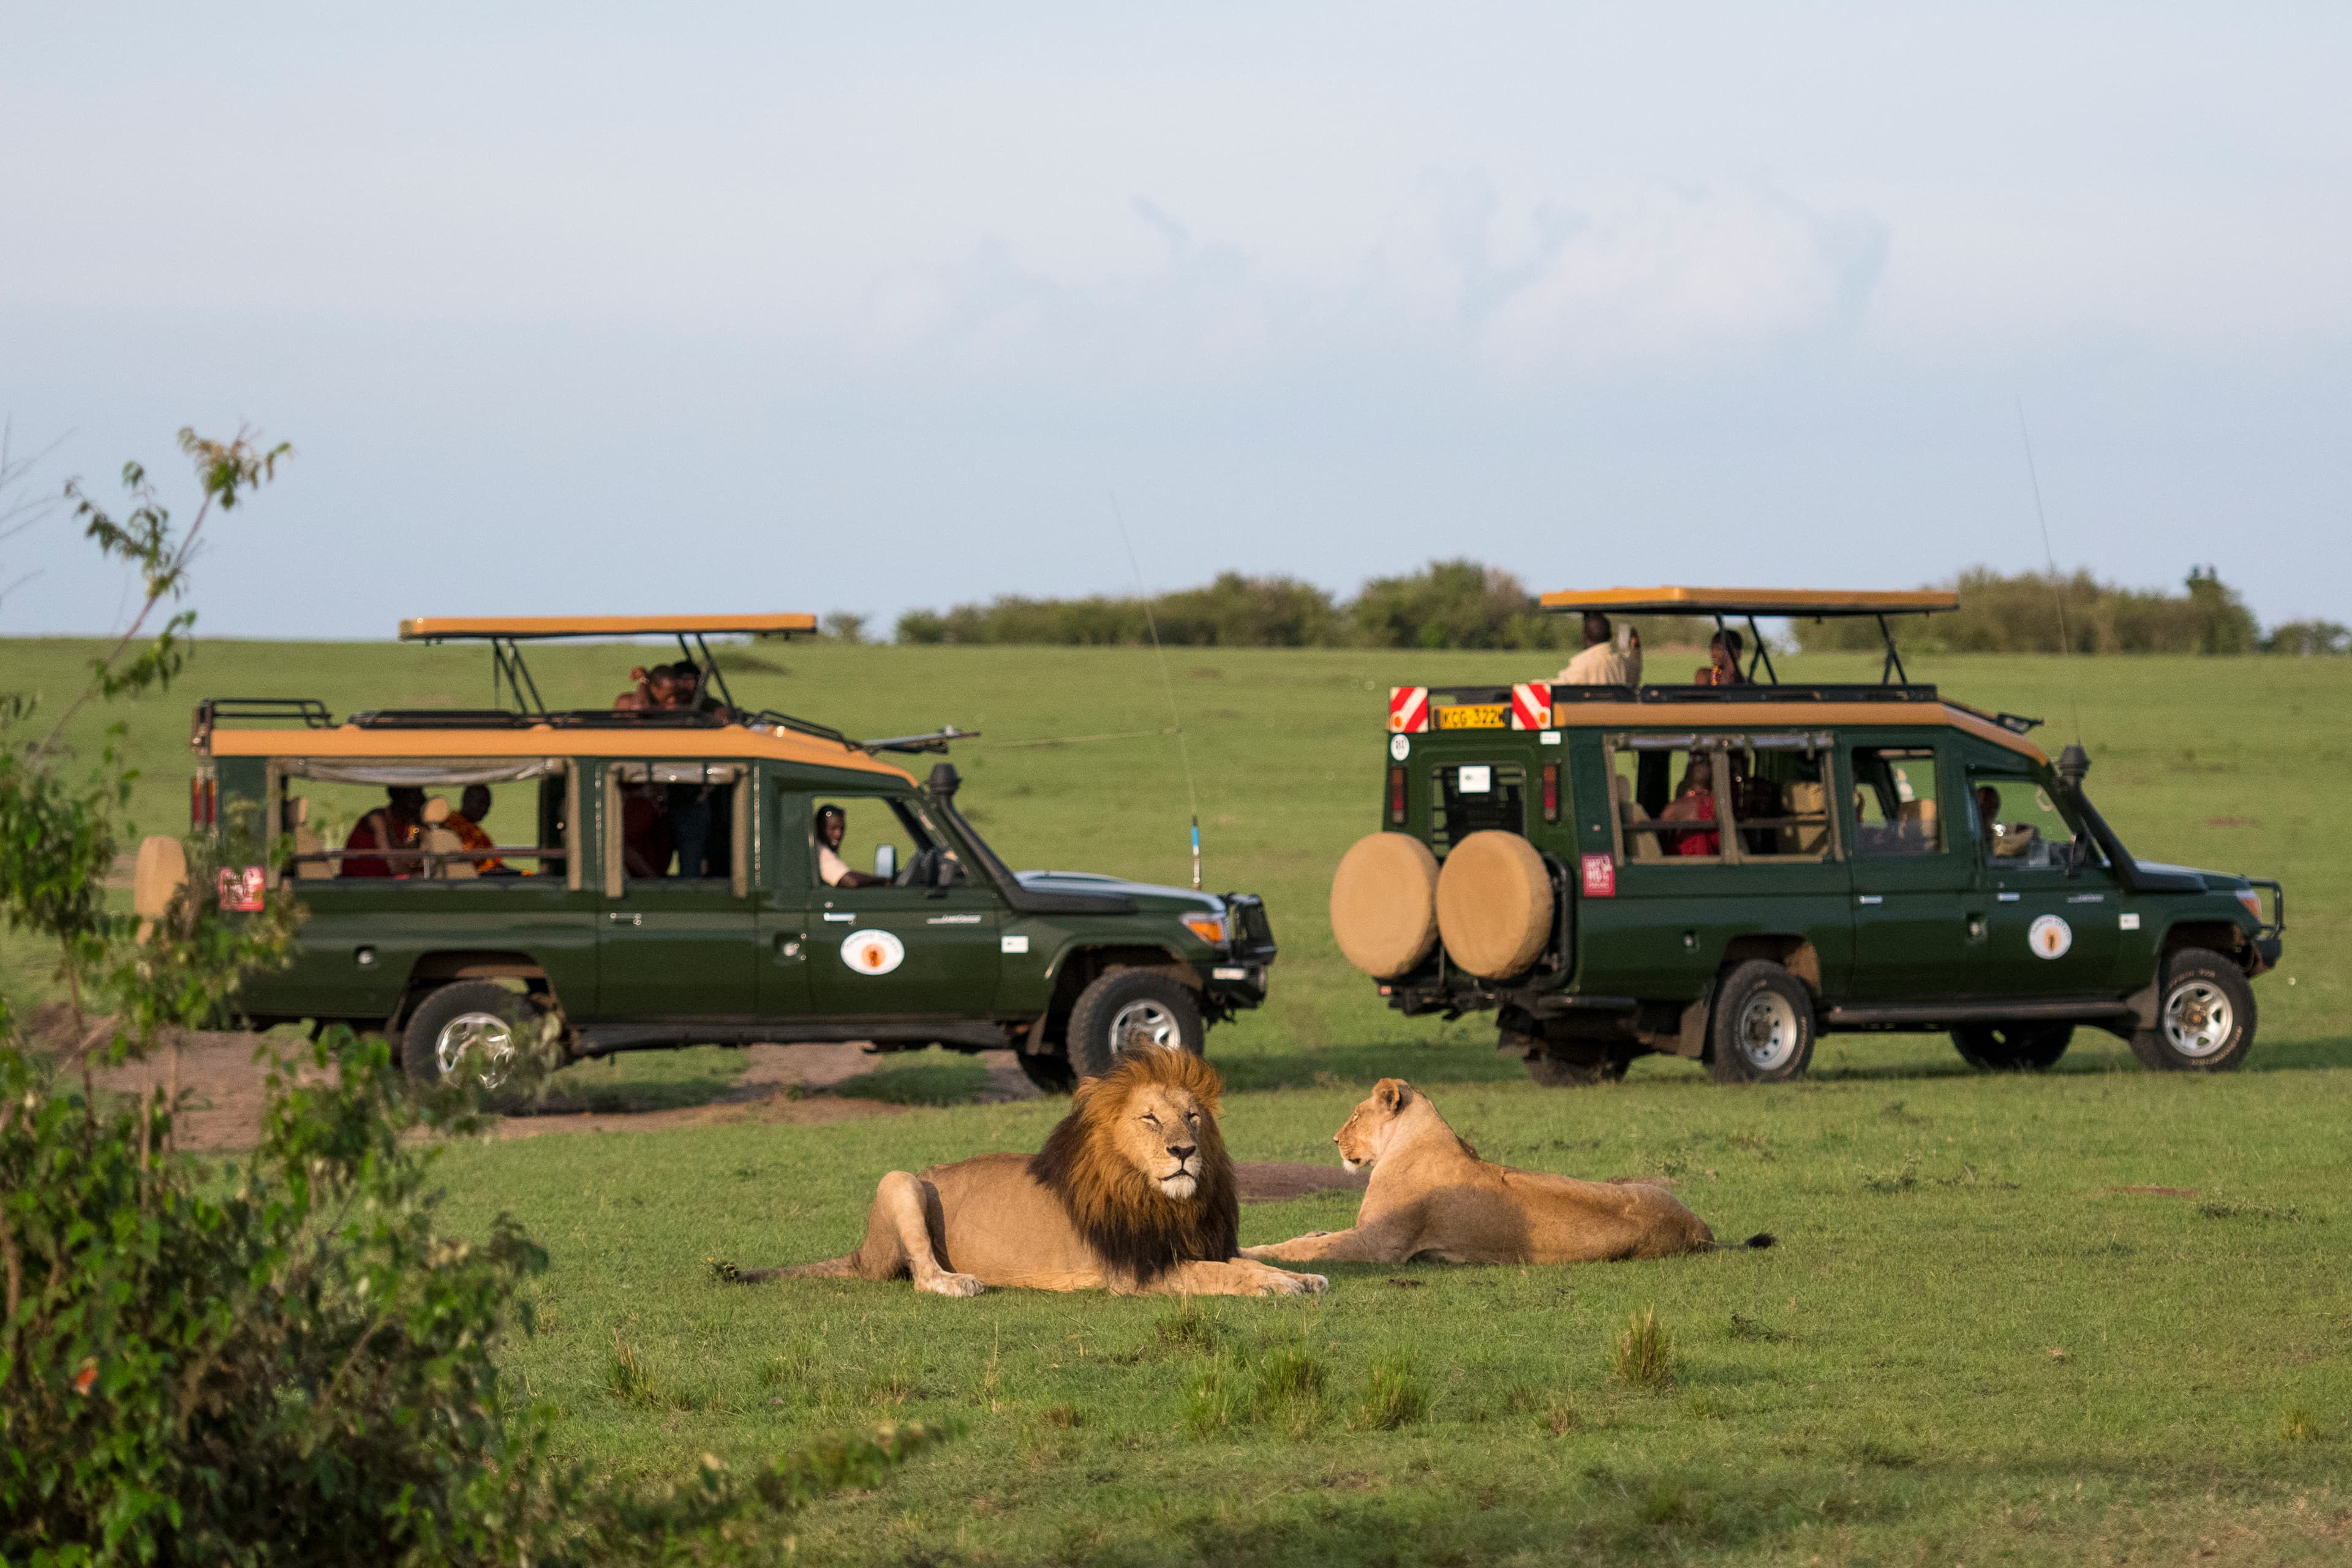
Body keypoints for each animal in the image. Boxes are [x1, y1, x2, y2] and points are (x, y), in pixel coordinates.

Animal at [734, 1048, 1326, 1297]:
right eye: (1150, 1118)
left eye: (1194, 1117)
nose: (1184, 1150)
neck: (1163, 1200)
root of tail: (860, 1252)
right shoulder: (1137, 1271)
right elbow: (1224, 1274)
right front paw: (1279, 1286)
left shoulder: (1192, 1244)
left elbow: (1242, 1261)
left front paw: (1298, 1276)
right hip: (900, 1180)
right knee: (922, 1274)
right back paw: (959, 1283)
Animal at [1251, 1086, 1768, 1269]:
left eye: (1356, 1116)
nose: (1335, 1140)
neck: (1415, 1136)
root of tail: (1699, 1231)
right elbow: (1312, 1237)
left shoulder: (1380, 1246)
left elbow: (1303, 1249)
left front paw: (1258, 1251)